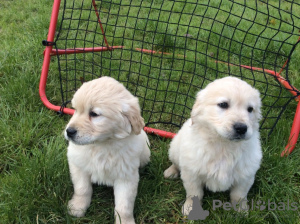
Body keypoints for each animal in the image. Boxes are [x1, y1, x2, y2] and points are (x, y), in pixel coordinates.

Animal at [64, 76, 151, 223]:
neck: (102, 145)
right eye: (75, 110)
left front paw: (125, 221)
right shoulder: (78, 166)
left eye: (94, 114)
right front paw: (77, 207)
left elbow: (124, 206)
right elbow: (82, 189)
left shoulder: (126, 177)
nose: (69, 131)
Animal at [164, 76, 262, 214]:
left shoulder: (245, 176)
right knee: (176, 163)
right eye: (223, 104)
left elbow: (239, 195)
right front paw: (191, 209)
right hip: (174, 149)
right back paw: (171, 172)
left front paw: (241, 210)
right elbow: (194, 194)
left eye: (250, 109)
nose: (241, 128)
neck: (224, 145)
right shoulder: (191, 174)